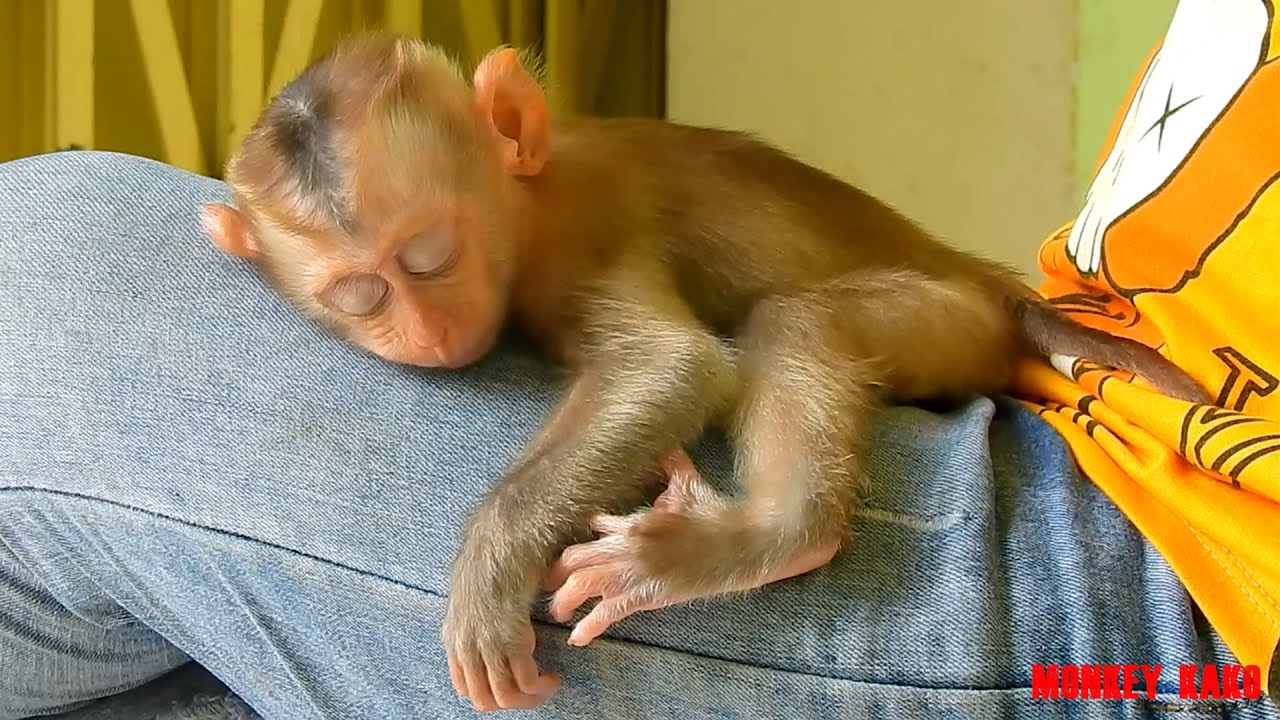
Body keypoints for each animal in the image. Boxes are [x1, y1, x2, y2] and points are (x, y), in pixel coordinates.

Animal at [199, 33, 1210, 712]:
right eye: (361, 294)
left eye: (430, 257)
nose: (426, 330)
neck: (527, 201)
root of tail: (982, 279)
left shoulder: (582, 237)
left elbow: (674, 367)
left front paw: (491, 567)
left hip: (949, 322)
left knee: (799, 322)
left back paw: (775, 534)